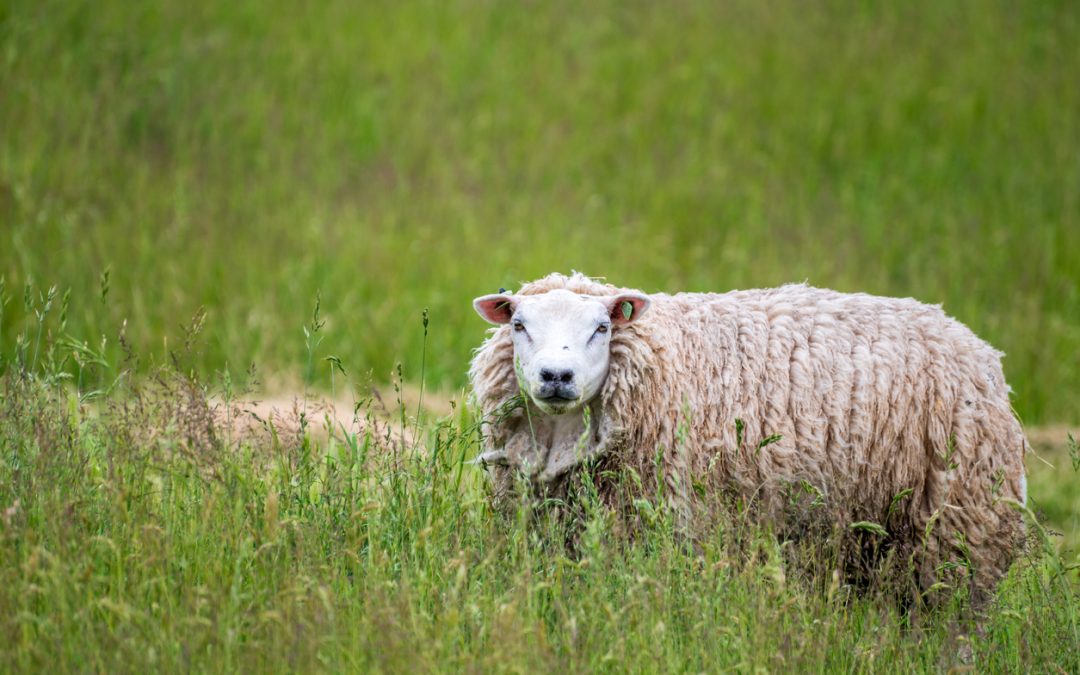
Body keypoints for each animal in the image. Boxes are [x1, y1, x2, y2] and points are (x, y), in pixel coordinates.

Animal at [473, 272, 1028, 600]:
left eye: (602, 329)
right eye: (519, 325)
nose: (556, 376)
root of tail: (980, 349)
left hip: (960, 525)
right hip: (875, 539)